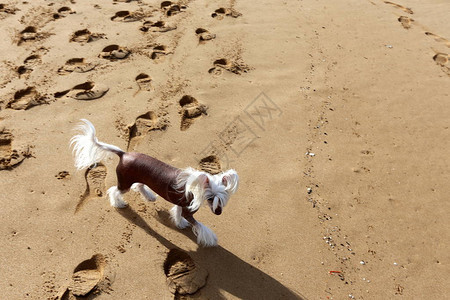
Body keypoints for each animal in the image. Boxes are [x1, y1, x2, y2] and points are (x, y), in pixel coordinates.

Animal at [70, 119, 239, 246]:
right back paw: (118, 203)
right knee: (115, 190)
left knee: (139, 185)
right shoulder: (188, 210)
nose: (218, 212)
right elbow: (200, 226)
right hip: (124, 183)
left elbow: (177, 213)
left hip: (138, 178)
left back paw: (149, 196)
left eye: (222, 199)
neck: (195, 188)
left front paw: (179, 223)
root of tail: (123, 154)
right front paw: (210, 238)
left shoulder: (181, 204)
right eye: (210, 198)